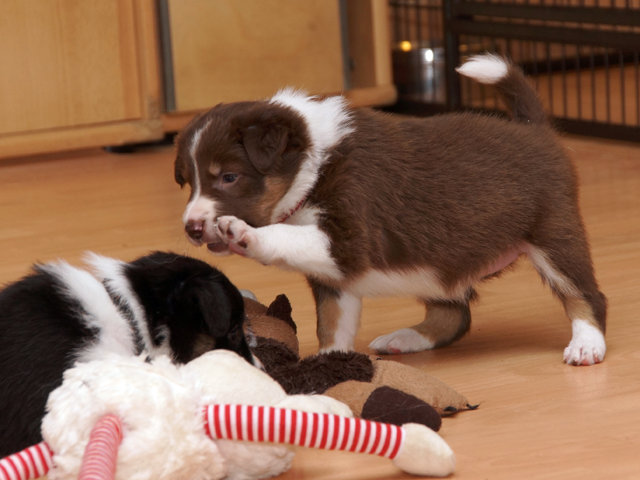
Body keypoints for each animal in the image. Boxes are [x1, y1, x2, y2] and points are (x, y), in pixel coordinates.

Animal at [174, 54, 606, 368]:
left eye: (229, 177)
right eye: (188, 182)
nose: (192, 228)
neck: (315, 165)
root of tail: (536, 129)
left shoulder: (347, 241)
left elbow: (282, 237)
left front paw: (244, 233)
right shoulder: (333, 275)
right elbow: (334, 322)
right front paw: (331, 363)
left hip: (554, 234)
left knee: (586, 295)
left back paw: (587, 345)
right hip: (435, 265)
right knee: (455, 315)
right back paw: (406, 338)